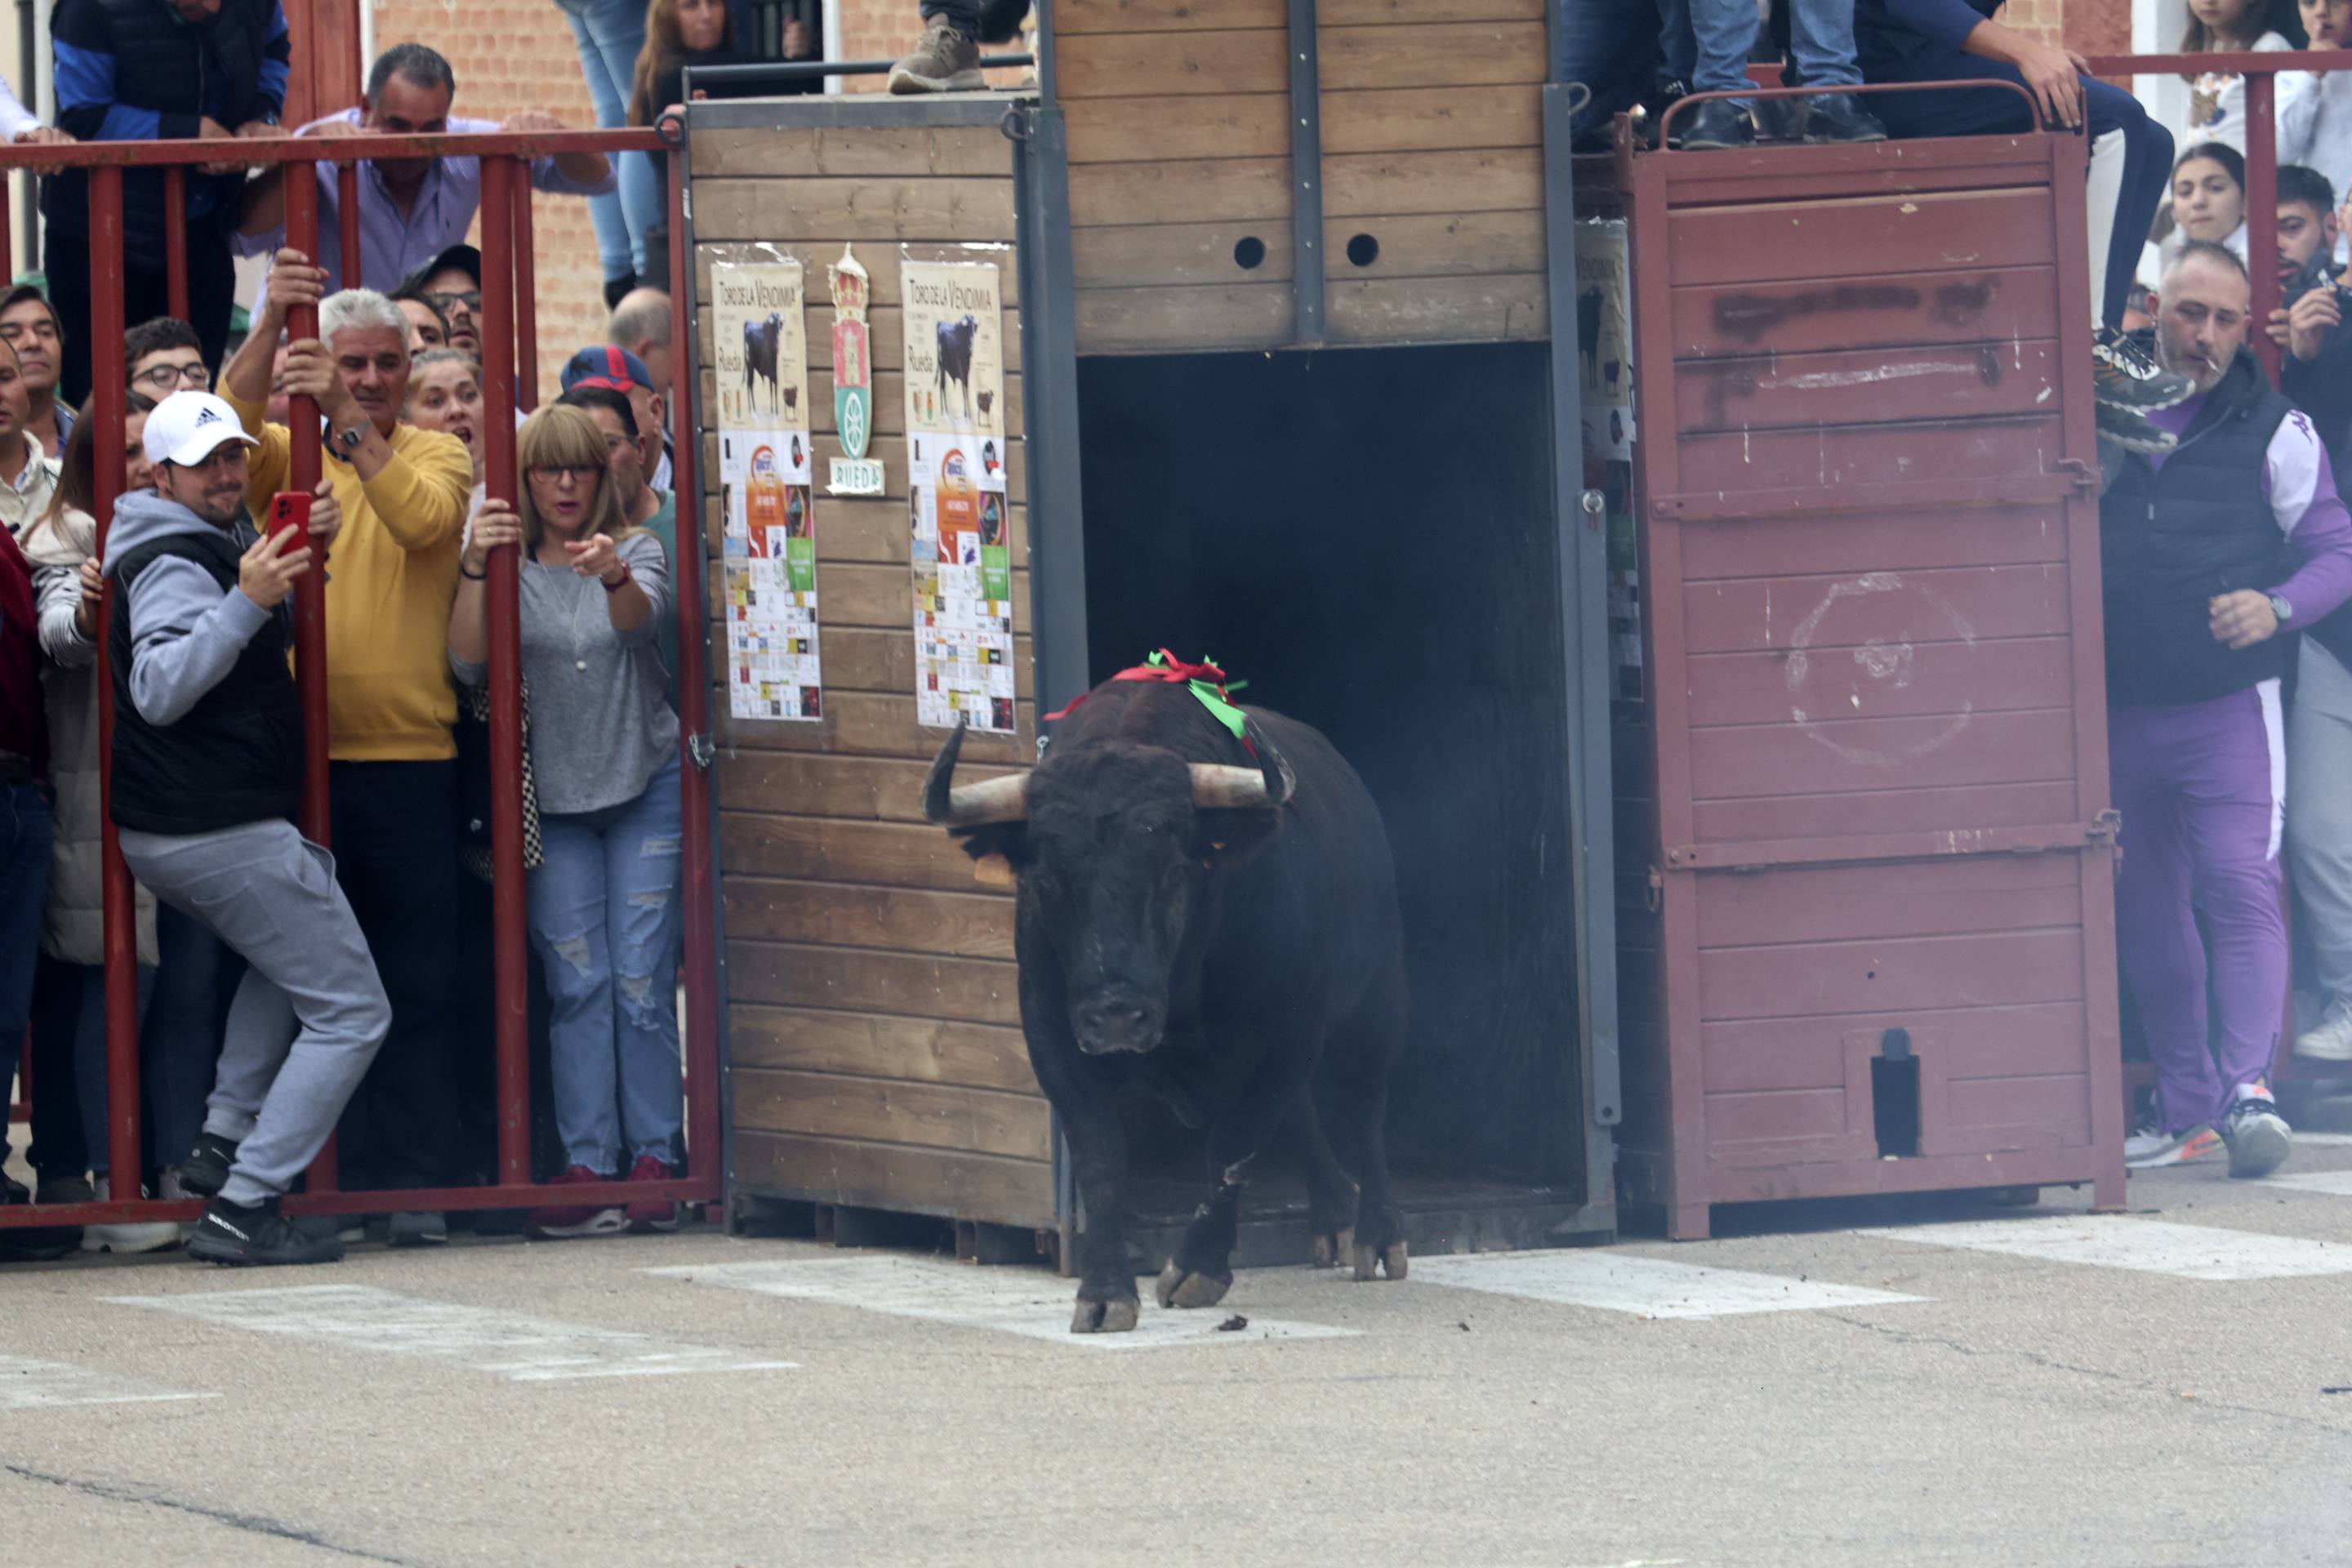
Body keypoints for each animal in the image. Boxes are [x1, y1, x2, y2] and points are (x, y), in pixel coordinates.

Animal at [917, 681, 1392, 1335]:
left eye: (1172, 873)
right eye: (1048, 881)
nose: (1117, 1014)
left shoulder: (1285, 1032)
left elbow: (1234, 1149)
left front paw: (1197, 1270)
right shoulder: (1054, 1037)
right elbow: (1100, 1158)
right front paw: (1104, 1293)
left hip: (1371, 1007)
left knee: (1365, 1109)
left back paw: (1377, 1236)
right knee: (1302, 1112)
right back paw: (1336, 1215)